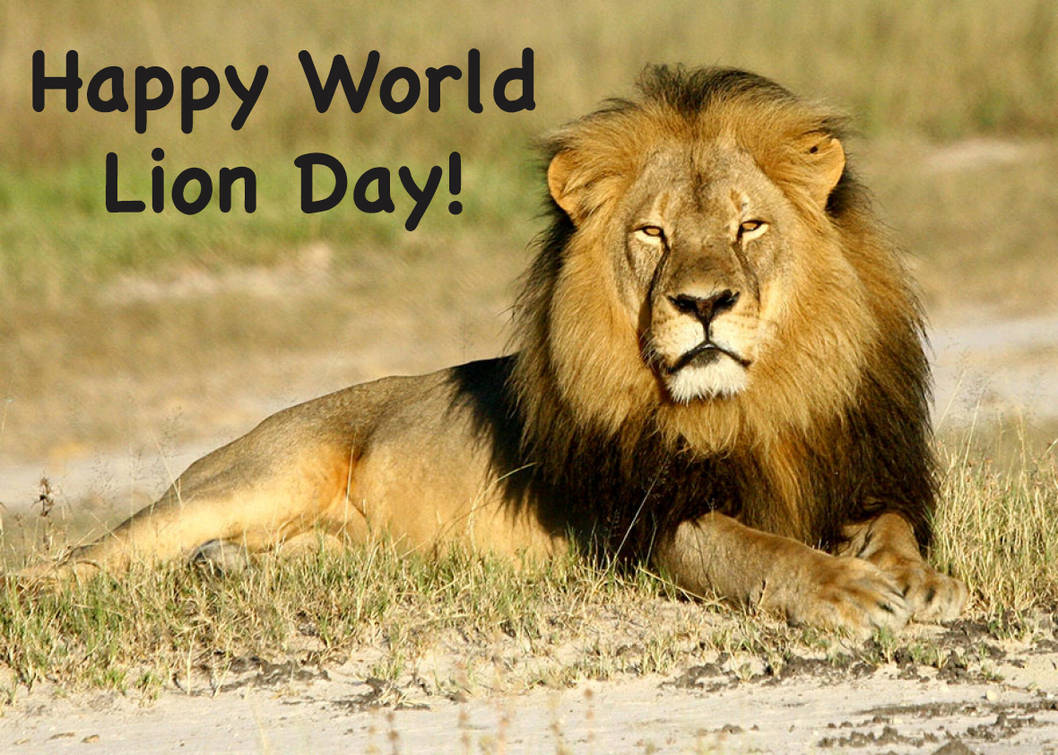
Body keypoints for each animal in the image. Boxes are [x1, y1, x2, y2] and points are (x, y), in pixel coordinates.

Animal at [27, 66, 966, 636]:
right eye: (654, 234)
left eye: (750, 226)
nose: (703, 303)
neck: (751, 405)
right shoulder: (645, 520)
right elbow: (754, 549)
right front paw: (844, 589)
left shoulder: (859, 468)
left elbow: (891, 524)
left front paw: (920, 578)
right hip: (256, 474)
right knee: (90, 554)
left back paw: (225, 569)